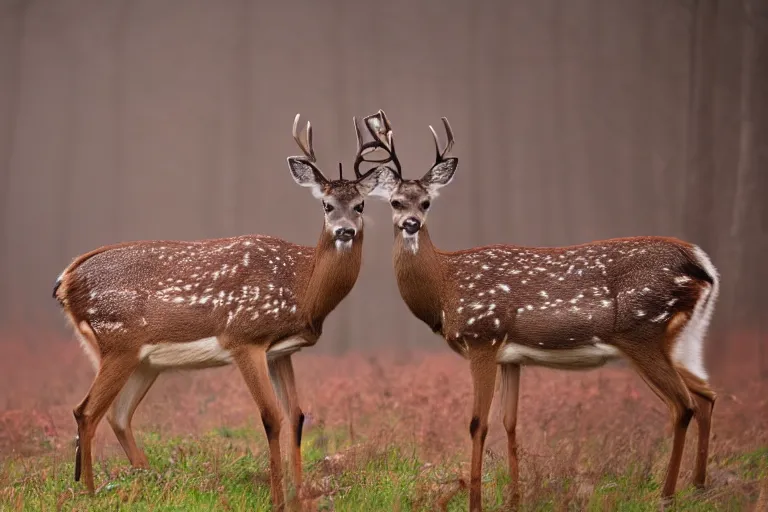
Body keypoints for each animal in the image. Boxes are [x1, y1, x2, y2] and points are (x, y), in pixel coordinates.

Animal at [51, 114, 384, 510]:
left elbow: (296, 416)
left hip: (144, 361)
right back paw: (89, 493)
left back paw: (151, 481)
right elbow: (270, 416)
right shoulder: (244, 338)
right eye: (327, 205)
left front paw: (300, 496)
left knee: (118, 415)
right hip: (118, 341)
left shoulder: (280, 351)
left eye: (361, 204)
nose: (345, 231)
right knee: (86, 412)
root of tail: (66, 279)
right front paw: (277, 499)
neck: (304, 287)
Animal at [358, 110, 720, 510]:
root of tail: (700, 264)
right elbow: (510, 422)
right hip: (680, 340)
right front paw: (515, 499)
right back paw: (699, 488)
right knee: (706, 395)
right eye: (395, 202)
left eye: (426, 202)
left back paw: (667, 495)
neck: (444, 289)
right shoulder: (511, 357)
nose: (411, 224)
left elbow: (477, 423)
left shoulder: (482, 336)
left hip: (643, 332)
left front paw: (476, 502)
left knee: (683, 405)